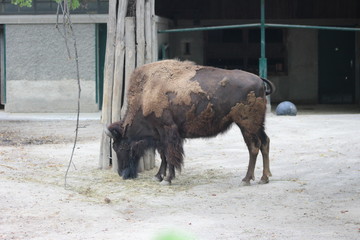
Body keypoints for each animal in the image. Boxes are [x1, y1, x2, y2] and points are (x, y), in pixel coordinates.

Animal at [105, 60, 274, 186]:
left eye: (120, 146)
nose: (122, 173)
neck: (146, 93)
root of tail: (259, 80)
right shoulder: (160, 136)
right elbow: (164, 155)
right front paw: (158, 176)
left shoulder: (168, 131)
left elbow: (170, 155)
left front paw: (167, 179)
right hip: (258, 125)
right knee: (265, 142)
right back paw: (264, 178)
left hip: (246, 125)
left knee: (253, 147)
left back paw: (246, 179)